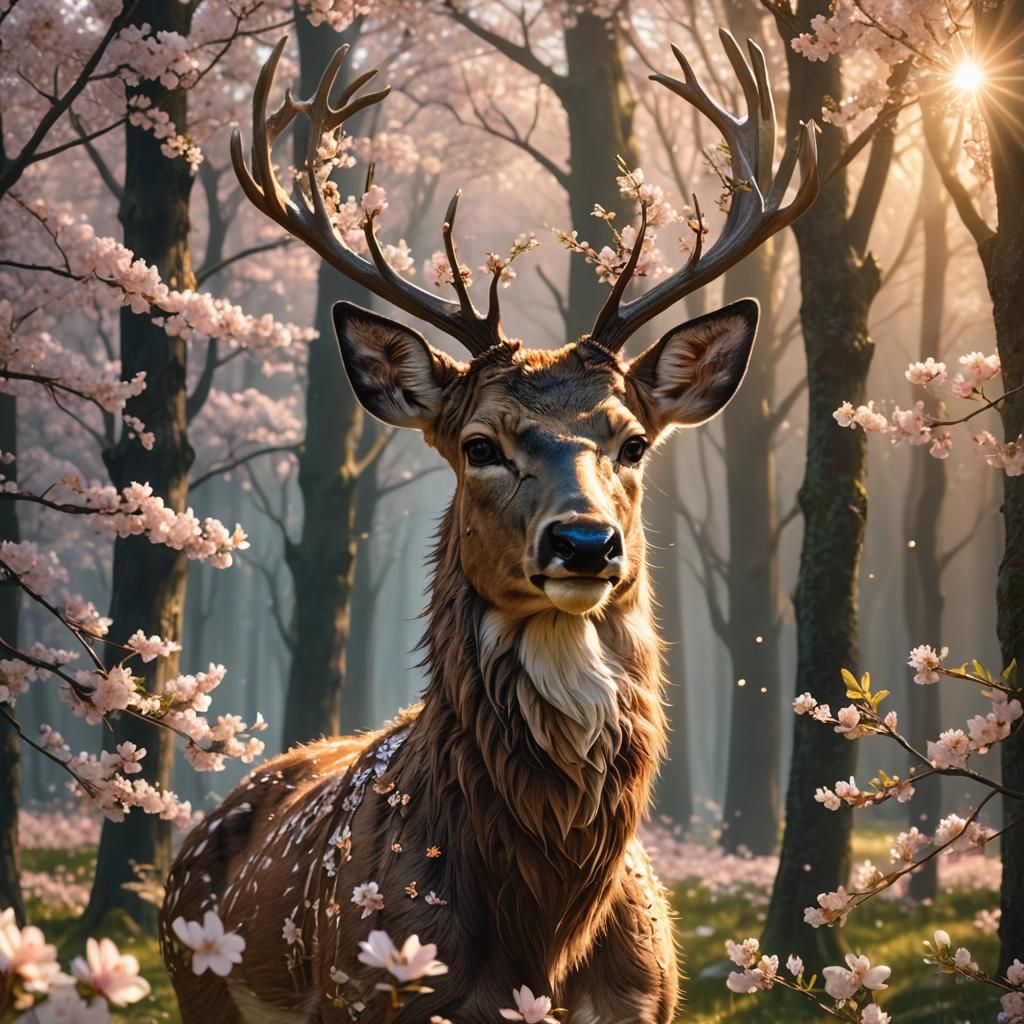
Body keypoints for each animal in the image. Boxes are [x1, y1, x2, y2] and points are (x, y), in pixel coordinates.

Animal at [160, 28, 817, 1024]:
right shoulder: (372, 994)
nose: (585, 542)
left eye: (632, 441)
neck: (542, 938)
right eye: (479, 445)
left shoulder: (649, 1000)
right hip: (199, 985)